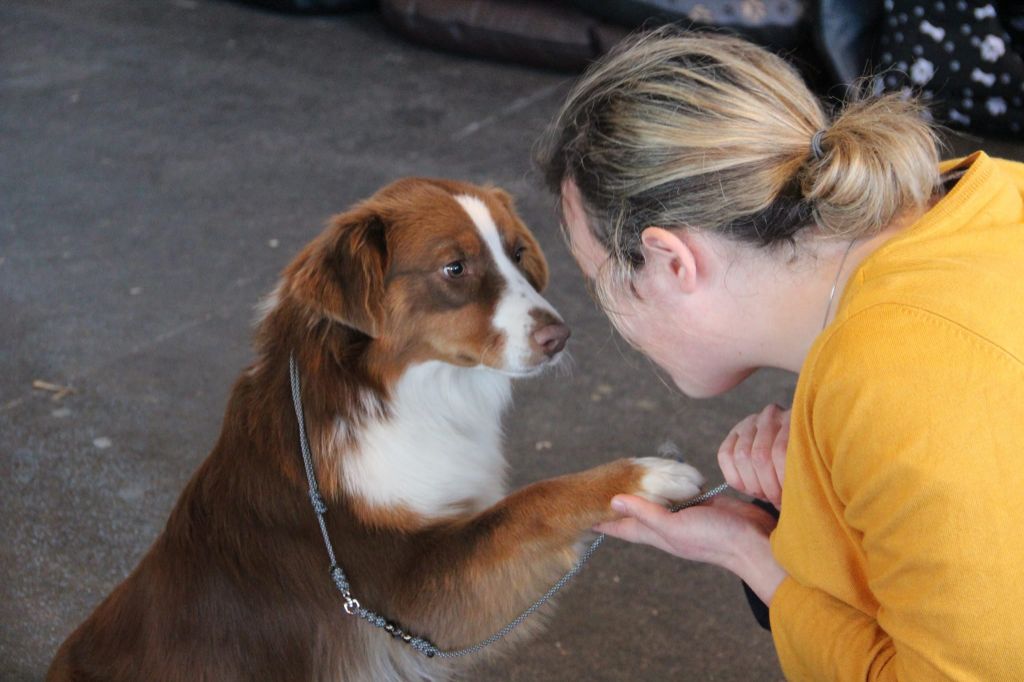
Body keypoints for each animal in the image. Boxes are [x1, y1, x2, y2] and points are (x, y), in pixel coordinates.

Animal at [48, 176, 704, 679]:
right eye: (454, 267)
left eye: (518, 253)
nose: (559, 337)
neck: (398, 393)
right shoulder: (406, 588)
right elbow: (530, 503)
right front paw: (642, 475)